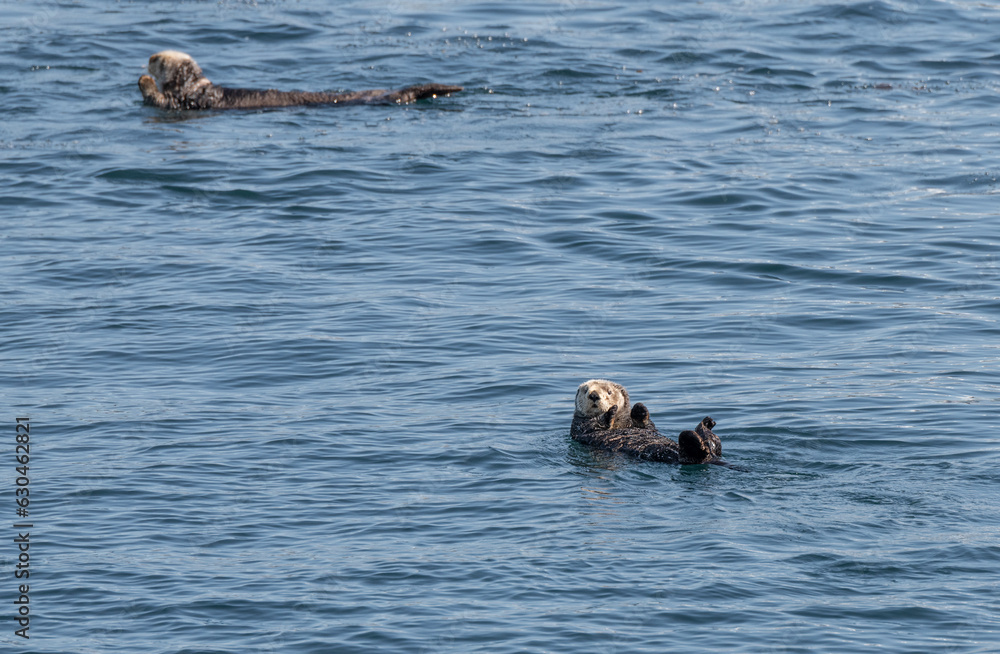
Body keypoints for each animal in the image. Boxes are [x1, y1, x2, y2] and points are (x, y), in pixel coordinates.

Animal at [570, 379, 724, 465]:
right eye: (585, 391)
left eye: (609, 392)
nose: (594, 395)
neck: (618, 423)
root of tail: (709, 458)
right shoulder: (579, 425)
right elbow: (592, 425)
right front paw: (610, 412)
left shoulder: (643, 426)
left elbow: (647, 425)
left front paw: (639, 409)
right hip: (679, 455)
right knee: (694, 450)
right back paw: (694, 436)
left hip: (711, 450)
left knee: (714, 444)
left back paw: (706, 425)